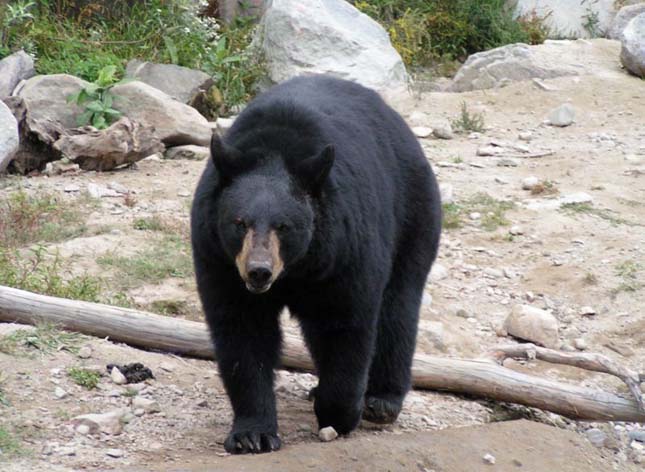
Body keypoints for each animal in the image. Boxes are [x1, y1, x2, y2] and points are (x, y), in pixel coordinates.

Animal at [190, 74, 442, 454]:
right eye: (239, 222)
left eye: (283, 226)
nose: (258, 271)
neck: (297, 268)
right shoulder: (218, 258)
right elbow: (241, 331)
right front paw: (252, 434)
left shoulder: (344, 251)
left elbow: (345, 324)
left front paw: (340, 413)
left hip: (414, 212)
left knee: (398, 306)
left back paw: (382, 400)